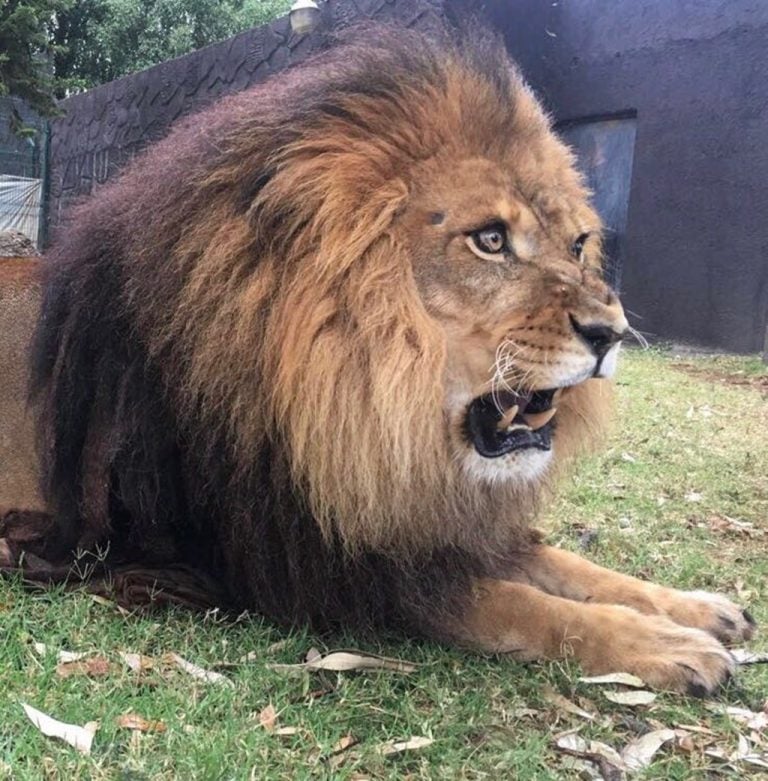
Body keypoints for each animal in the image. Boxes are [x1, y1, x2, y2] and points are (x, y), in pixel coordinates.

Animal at [0, 25, 754, 694]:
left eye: (577, 245)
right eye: (489, 239)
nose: (612, 332)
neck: (371, 409)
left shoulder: (423, 516)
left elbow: (562, 562)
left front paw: (698, 608)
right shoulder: (300, 561)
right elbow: (517, 603)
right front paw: (665, 644)